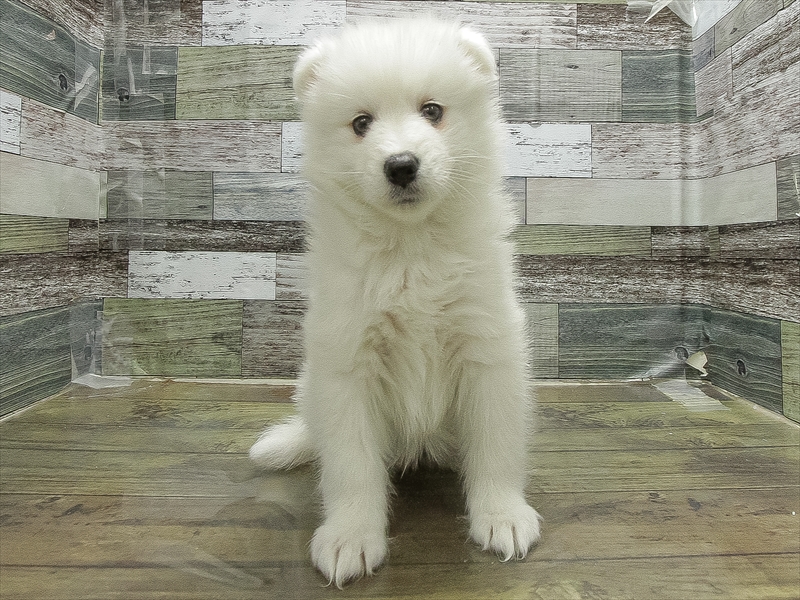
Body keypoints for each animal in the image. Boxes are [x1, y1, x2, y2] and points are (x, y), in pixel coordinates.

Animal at [250, 18, 541, 587]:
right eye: (361, 123)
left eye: (432, 111)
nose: (401, 165)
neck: (410, 250)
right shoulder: (347, 363)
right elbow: (351, 464)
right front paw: (350, 538)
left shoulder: (487, 345)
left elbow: (495, 444)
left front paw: (502, 515)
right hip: (313, 390)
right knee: (321, 437)